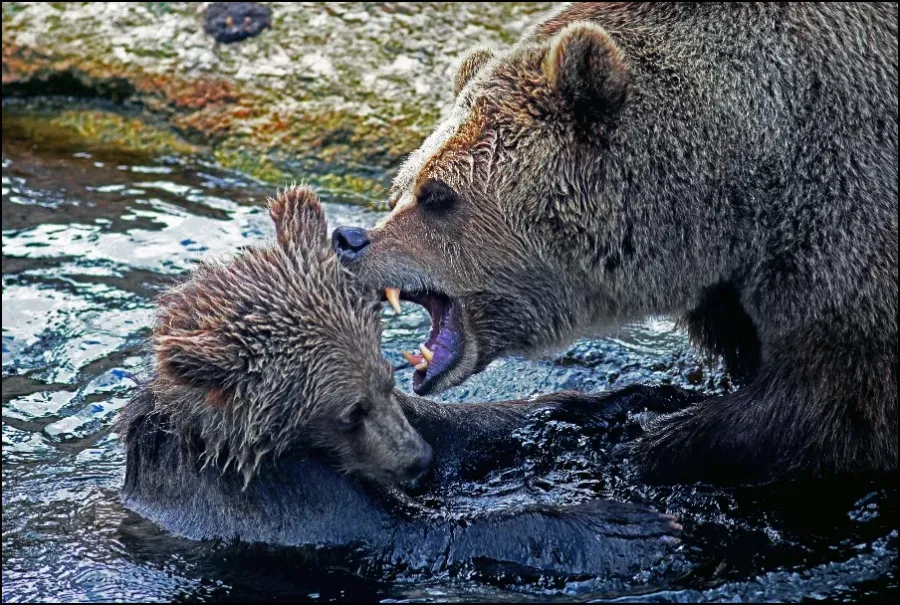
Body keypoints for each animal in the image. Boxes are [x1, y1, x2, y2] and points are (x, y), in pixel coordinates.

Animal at [334, 2, 896, 484]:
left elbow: (833, 399)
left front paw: (656, 436)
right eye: (402, 187)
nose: (348, 238)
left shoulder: (841, 215)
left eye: (437, 194)